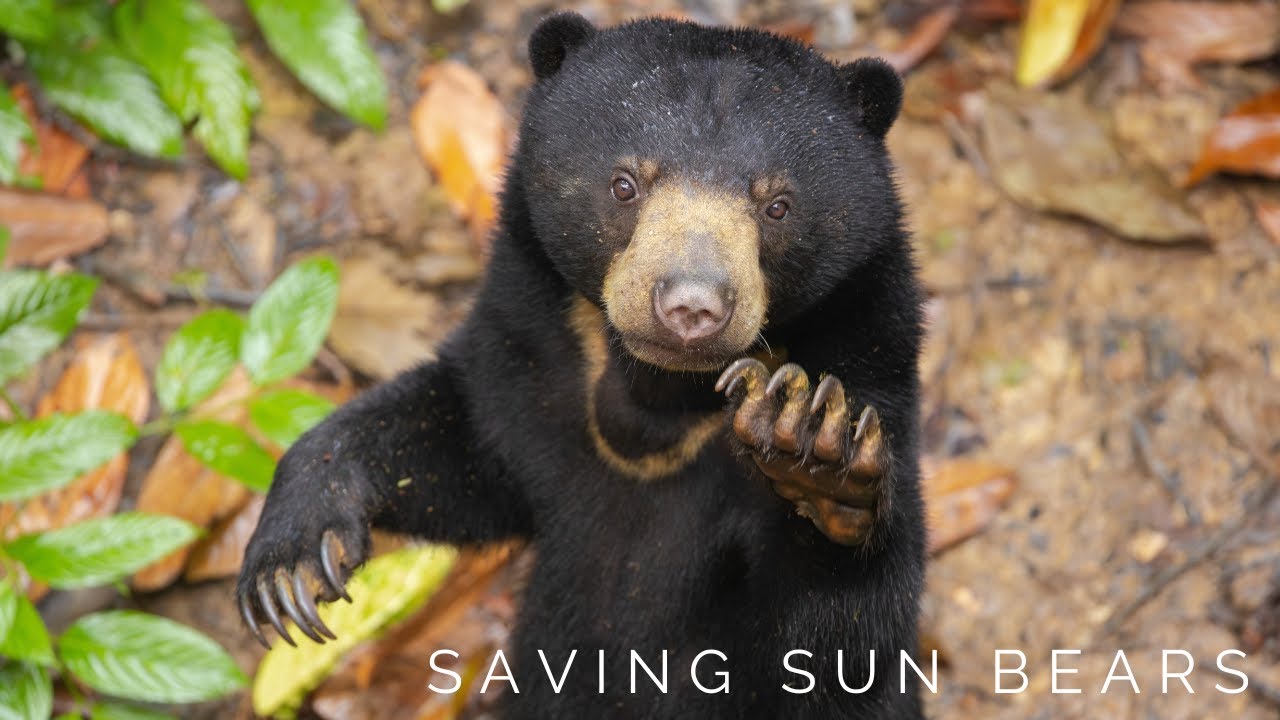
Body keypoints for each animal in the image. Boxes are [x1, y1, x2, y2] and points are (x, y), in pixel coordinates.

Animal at [238, 12, 926, 720]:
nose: (691, 306)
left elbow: (837, 636)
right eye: (625, 184)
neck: (660, 400)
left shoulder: (876, 361)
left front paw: (811, 441)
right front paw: (290, 565)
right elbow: (462, 442)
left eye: (777, 205)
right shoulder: (533, 359)